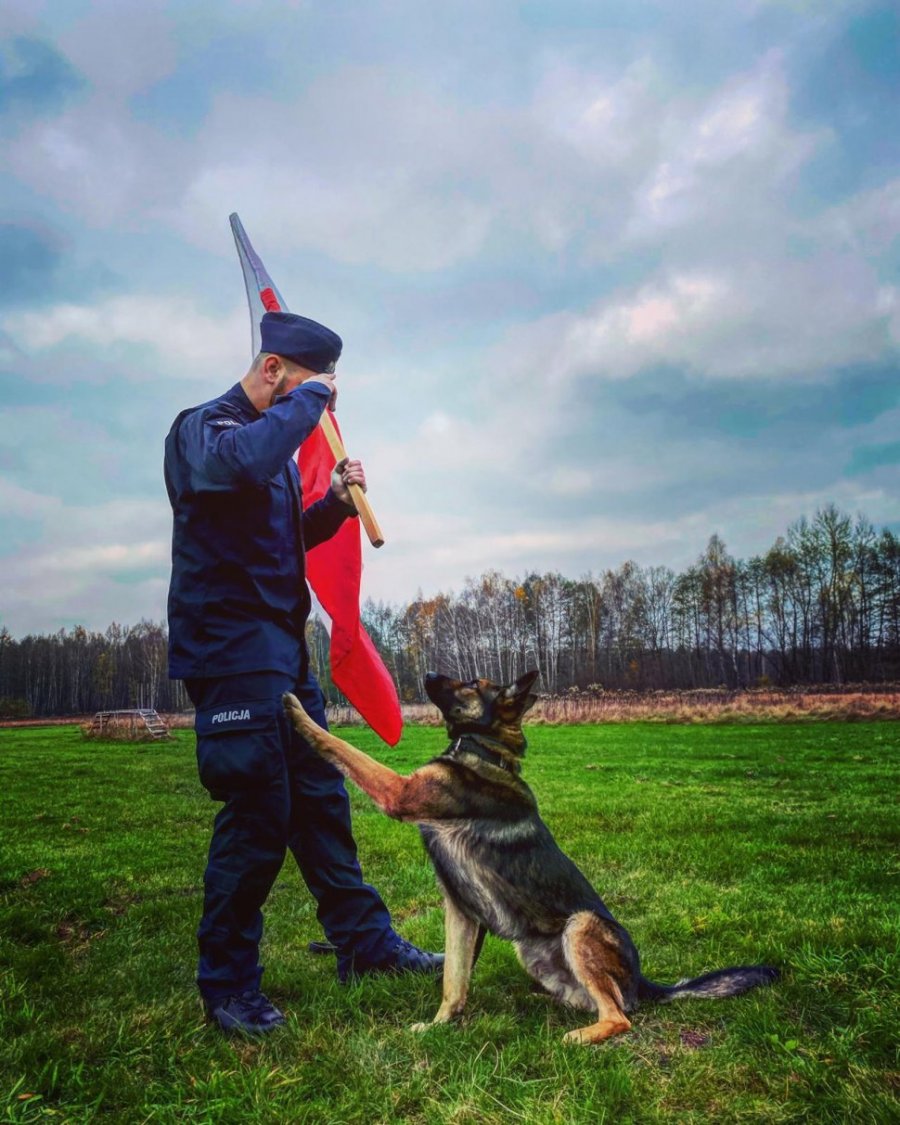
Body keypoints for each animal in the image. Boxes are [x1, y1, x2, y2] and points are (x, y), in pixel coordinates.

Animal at [284, 666, 778, 1044]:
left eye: (470, 683)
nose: (426, 674)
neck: (484, 750)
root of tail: (644, 982)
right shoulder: (461, 912)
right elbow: (454, 981)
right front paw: (440, 1025)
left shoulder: (398, 792)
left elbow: (344, 749)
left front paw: (297, 712)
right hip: (534, 952)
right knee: (597, 1000)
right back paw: (547, 999)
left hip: (580, 927)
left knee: (619, 1015)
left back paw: (582, 1034)